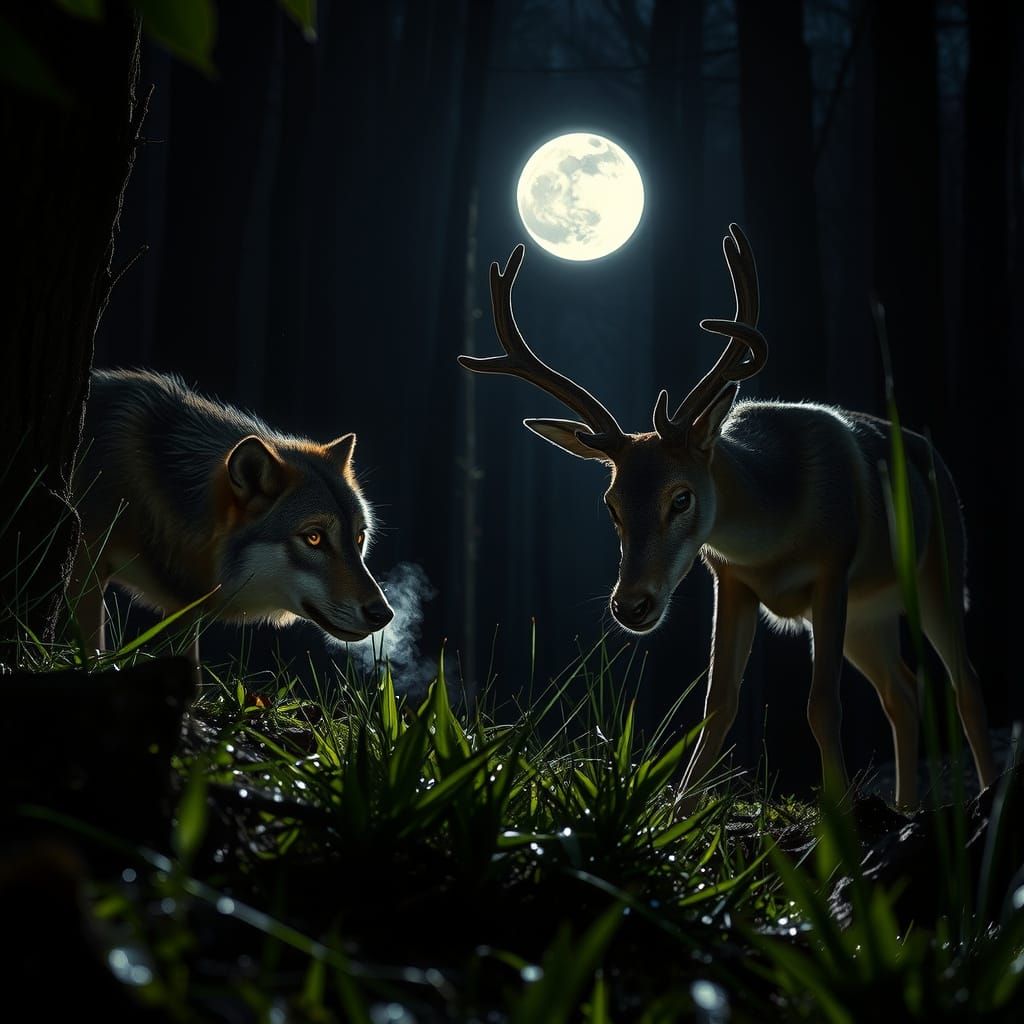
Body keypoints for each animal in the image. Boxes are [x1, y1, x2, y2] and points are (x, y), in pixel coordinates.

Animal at [458, 224, 998, 812]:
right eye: (611, 503)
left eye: (682, 498)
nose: (631, 605)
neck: (776, 529)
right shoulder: (731, 580)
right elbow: (718, 704)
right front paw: (680, 809)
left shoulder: (833, 568)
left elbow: (821, 704)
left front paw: (837, 815)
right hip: (869, 615)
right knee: (902, 688)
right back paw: (906, 805)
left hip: (940, 568)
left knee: (966, 683)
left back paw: (985, 791)